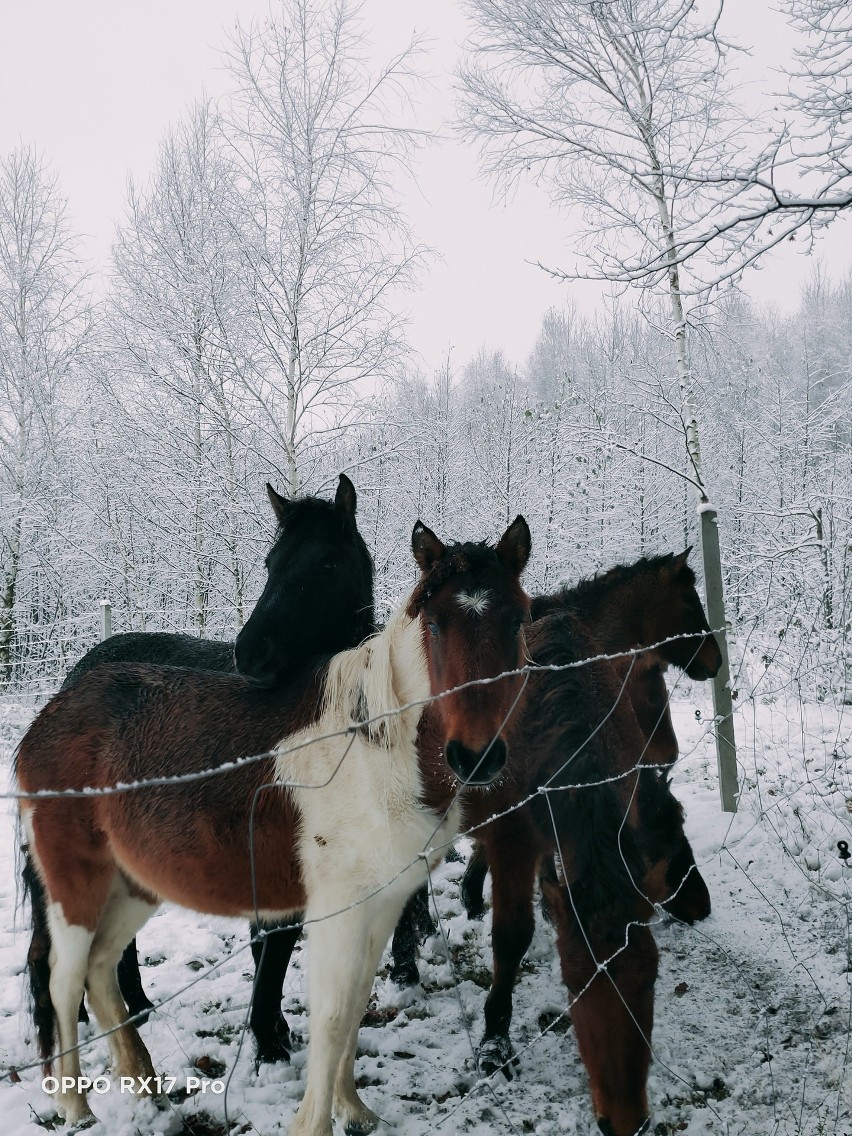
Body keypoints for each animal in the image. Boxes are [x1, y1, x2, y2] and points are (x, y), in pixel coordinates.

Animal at [16, 518, 531, 1136]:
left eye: (519, 618)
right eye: (435, 623)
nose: (477, 756)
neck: (372, 746)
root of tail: (55, 709)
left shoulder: (383, 902)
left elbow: (356, 1005)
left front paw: (355, 1110)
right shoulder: (338, 907)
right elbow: (332, 1015)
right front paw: (315, 1121)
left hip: (134, 885)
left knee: (100, 969)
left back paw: (144, 1083)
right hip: (76, 888)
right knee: (63, 978)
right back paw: (75, 1106)